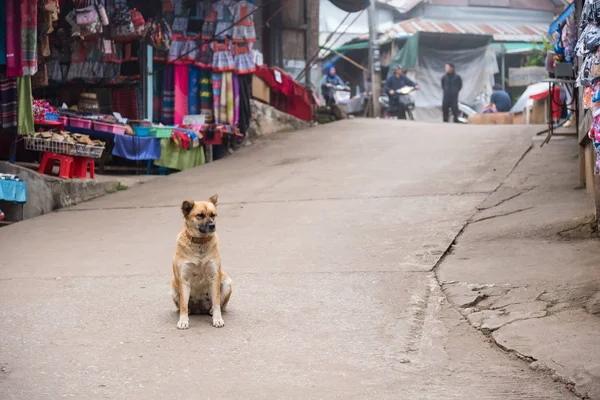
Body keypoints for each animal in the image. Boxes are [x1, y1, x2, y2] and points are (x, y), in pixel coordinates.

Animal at [172, 195, 233, 330]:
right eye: (200, 215)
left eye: (213, 215)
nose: (212, 225)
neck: (200, 242)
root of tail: (199, 309)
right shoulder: (183, 279)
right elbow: (183, 305)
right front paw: (183, 321)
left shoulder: (214, 277)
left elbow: (216, 303)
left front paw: (217, 319)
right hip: (173, 288)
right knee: (184, 306)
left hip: (227, 282)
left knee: (219, 305)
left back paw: (211, 311)